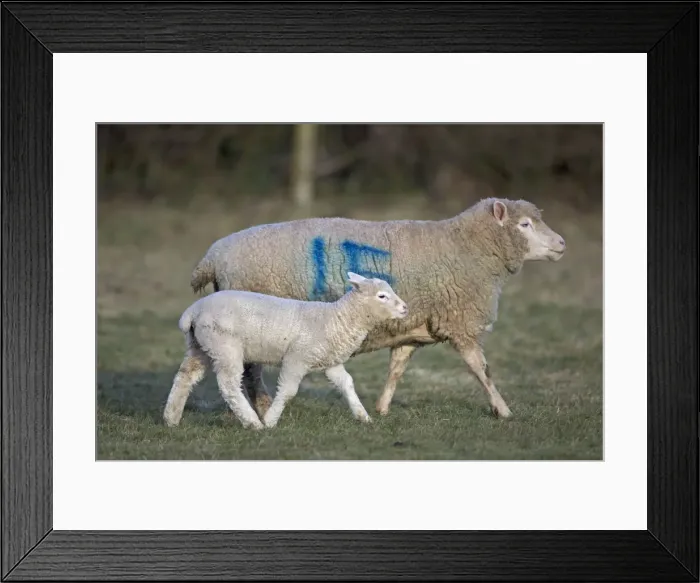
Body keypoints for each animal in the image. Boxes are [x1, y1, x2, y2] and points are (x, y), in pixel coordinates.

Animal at [163, 272, 408, 429]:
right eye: (382, 296)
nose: (405, 308)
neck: (336, 319)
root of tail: (193, 311)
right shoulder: (297, 358)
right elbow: (288, 391)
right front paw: (270, 421)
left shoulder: (330, 361)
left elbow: (346, 384)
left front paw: (363, 416)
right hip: (225, 347)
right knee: (229, 385)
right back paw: (253, 423)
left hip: (200, 346)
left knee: (185, 377)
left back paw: (171, 418)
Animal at [190, 197, 566, 419]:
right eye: (524, 225)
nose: (562, 244)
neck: (466, 247)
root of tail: (212, 257)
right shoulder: (460, 321)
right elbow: (481, 369)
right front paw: (503, 410)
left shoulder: (412, 326)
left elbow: (397, 369)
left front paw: (382, 408)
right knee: (252, 372)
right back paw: (265, 407)